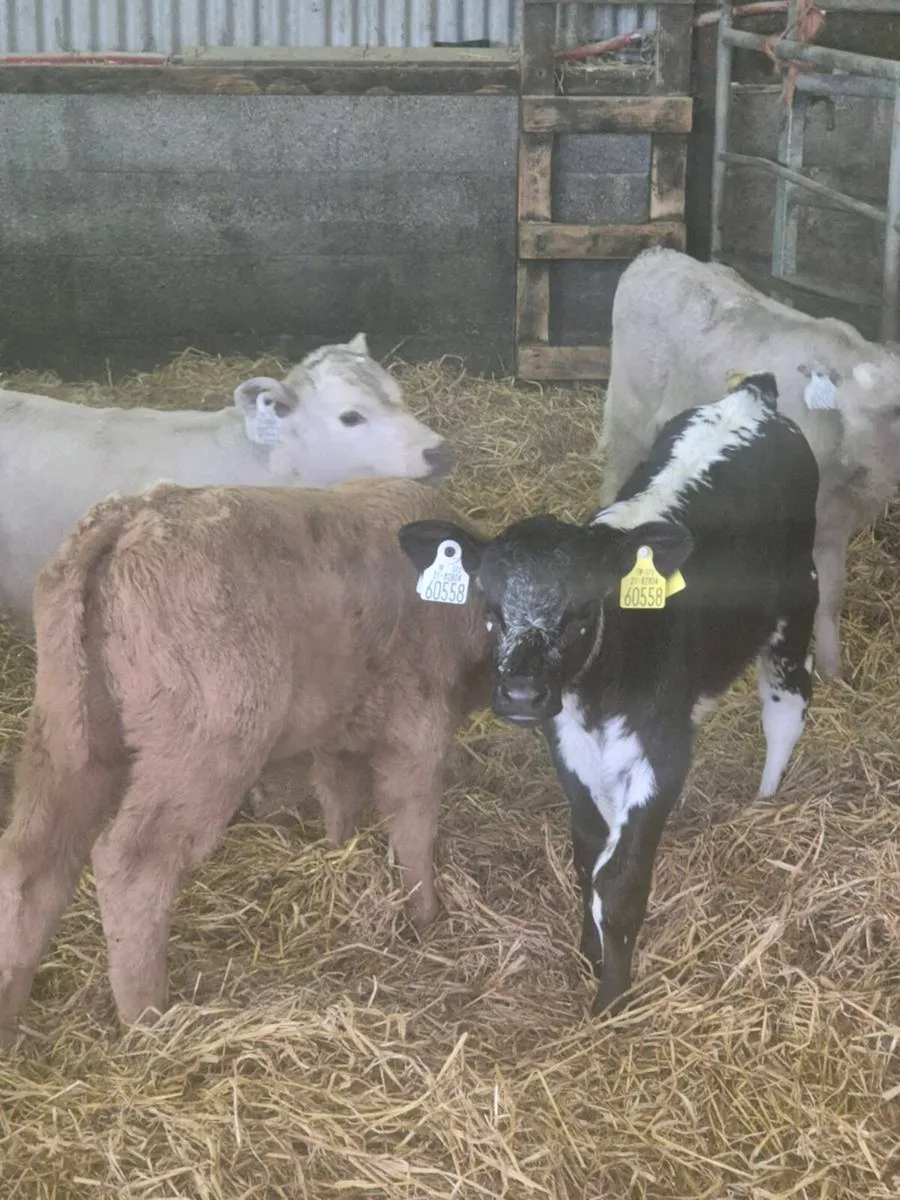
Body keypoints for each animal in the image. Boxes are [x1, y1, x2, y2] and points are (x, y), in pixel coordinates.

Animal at [0, 478, 490, 1046]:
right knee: (130, 865)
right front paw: (426, 916)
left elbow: (340, 794)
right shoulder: (417, 728)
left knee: (31, 861)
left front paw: (338, 855)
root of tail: (131, 515)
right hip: (205, 745)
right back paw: (148, 1022)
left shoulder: (340, 727)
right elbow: (412, 824)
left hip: (67, 732)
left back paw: (10, 1009)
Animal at [400, 373, 820, 1018]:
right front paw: (590, 953)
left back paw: (766, 799)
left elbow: (619, 879)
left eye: (580, 613)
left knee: (786, 708)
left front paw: (612, 999)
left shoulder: (661, 754)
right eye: (489, 609)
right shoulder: (570, 746)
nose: (521, 694)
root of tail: (752, 395)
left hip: (799, 602)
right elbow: (588, 857)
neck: (599, 692)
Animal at [598, 247, 900, 680]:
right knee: (613, 480)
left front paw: (832, 672)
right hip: (629, 413)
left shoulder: (836, 522)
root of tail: (656, 253)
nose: (855, 451)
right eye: (846, 409)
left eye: (893, 411)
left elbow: (832, 595)